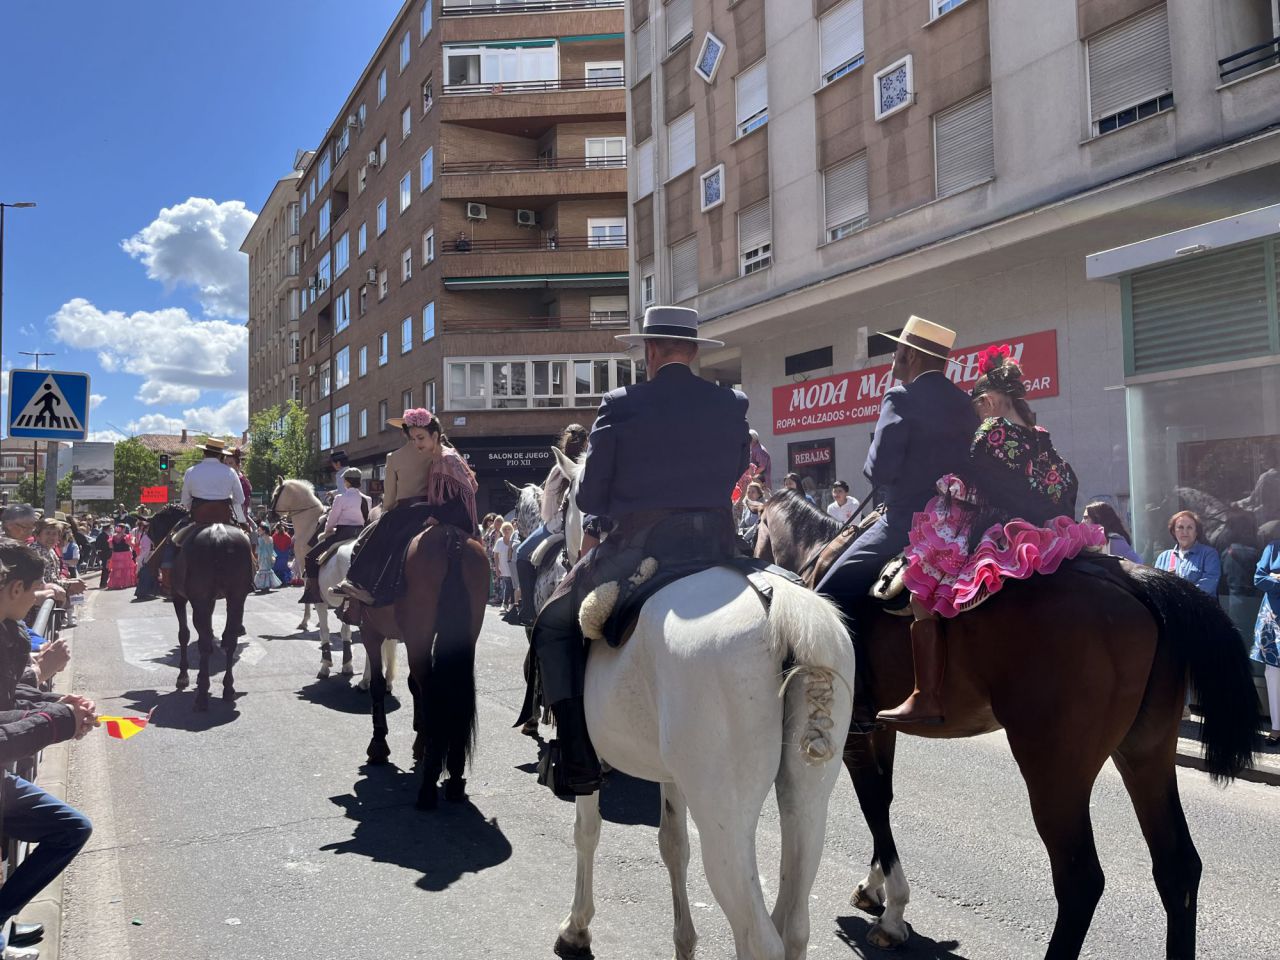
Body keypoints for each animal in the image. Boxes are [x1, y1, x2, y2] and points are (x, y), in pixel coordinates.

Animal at [145, 504, 254, 716]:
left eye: (151, 529)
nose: (153, 545)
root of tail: (219, 535)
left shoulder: (180, 598)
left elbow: (184, 634)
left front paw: (183, 676)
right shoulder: (211, 600)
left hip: (200, 600)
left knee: (203, 643)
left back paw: (202, 696)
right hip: (236, 597)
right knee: (230, 639)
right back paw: (228, 689)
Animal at [266, 481, 394, 691]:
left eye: (276, 494)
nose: (270, 516)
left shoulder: (310, 580)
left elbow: (322, 626)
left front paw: (324, 663)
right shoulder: (344, 604)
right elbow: (345, 632)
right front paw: (347, 665)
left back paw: (366, 681)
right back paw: (382, 680)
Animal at [355, 519, 488, 814]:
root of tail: (452, 541)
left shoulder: (370, 631)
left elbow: (379, 685)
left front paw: (379, 744)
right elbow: (412, 686)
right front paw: (420, 741)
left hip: (416, 634)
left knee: (430, 689)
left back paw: (428, 785)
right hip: (463, 637)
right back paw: (454, 777)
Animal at [545, 450, 855, 960]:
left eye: (570, 495)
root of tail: (779, 609)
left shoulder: (586, 760)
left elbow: (585, 830)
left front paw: (577, 928)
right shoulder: (672, 775)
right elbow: (673, 844)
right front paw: (683, 941)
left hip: (724, 818)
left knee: (759, 936)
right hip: (809, 802)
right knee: (793, 923)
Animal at [752, 491, 1254, 960]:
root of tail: (1133, 580)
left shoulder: (850, 729)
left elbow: (873, 801)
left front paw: (893, 915)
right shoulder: (879, 727)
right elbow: (884, 798)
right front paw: (874, 886)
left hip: (1054, 771)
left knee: (1080, 880)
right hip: (1144, 754)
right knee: (1177, 868)